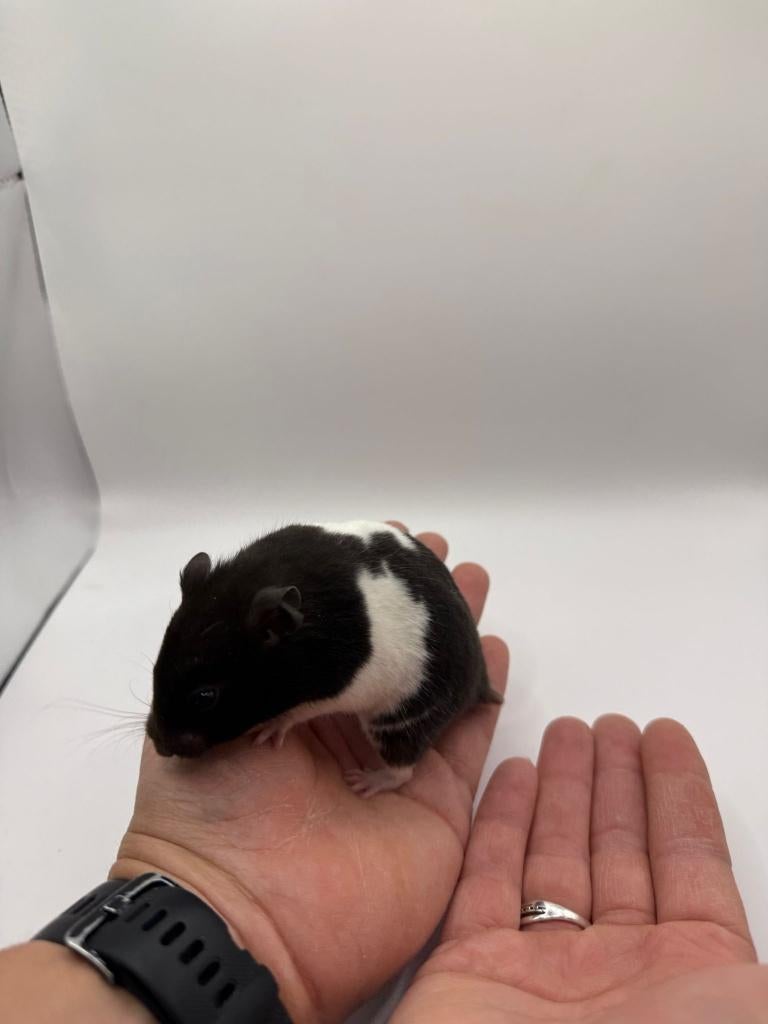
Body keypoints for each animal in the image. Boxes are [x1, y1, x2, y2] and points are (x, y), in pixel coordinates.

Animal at [146, 520, 501, 796]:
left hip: (402, 719)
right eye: (155, 670)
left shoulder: (336, 688)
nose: (158, 746)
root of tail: (480, 683)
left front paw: (268, 729)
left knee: (403, 770)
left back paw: (365, 782)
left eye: (205, 696)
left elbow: (296, 712)